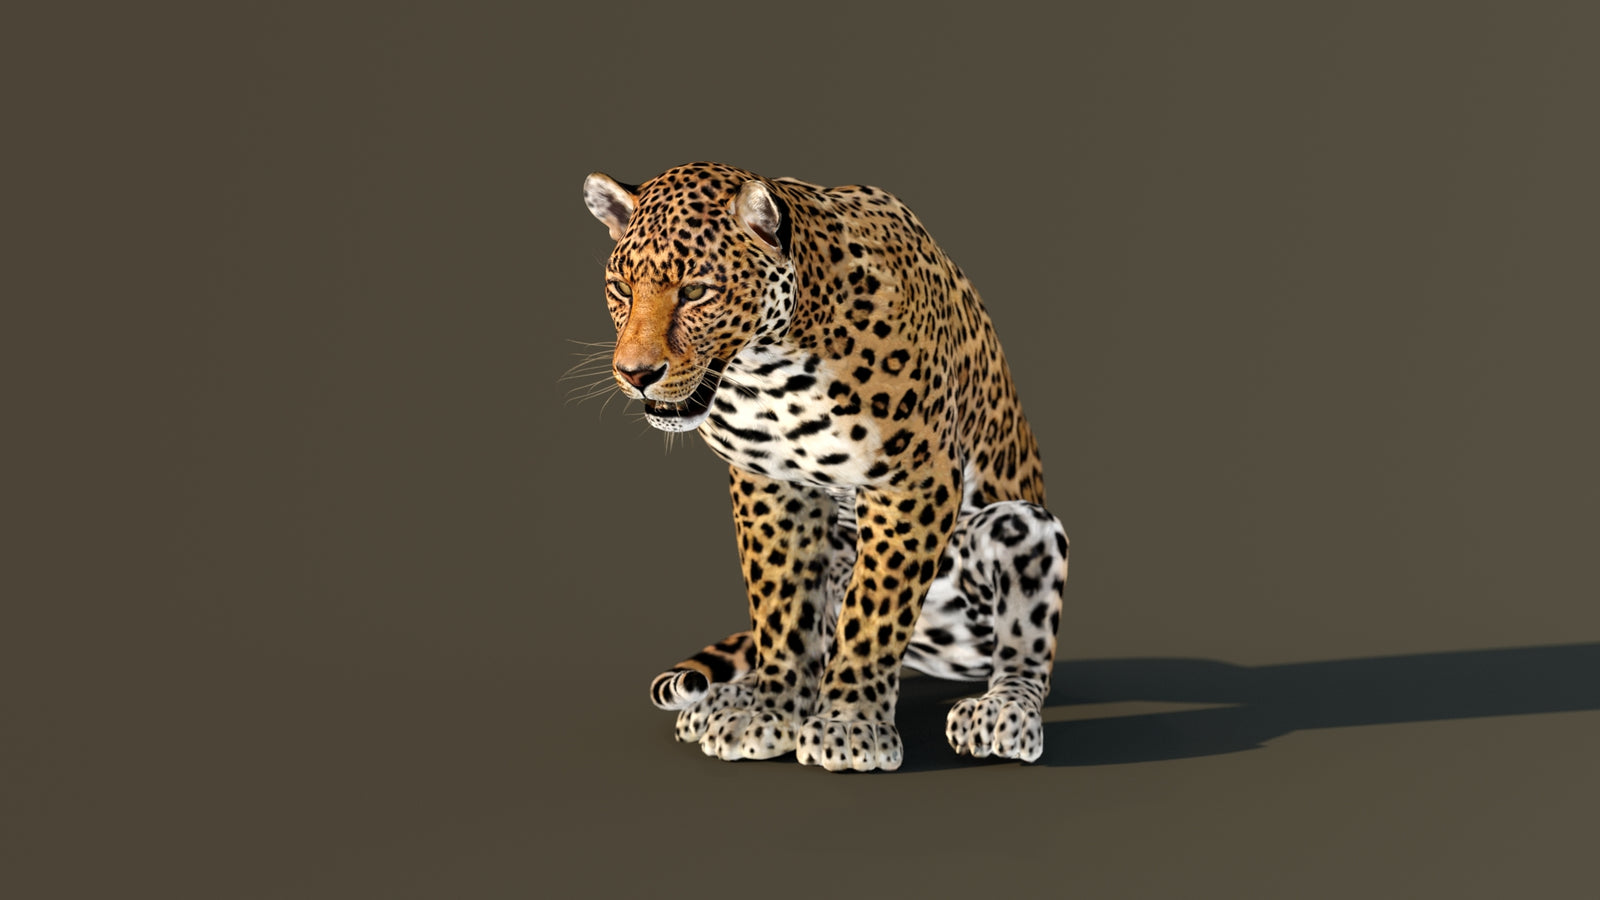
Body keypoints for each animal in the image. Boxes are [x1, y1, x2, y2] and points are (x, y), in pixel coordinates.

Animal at [580, 161, 1069, 771]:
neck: (771, 370)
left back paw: (1003, 713)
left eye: (695, 291)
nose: (635, 374)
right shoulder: (771, 485)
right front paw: (770, 711)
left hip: (1022, 526)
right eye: (622, 289)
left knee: (1024, 648)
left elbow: (874, 611)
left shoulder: (914, 480)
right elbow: (781, 607)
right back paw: (725, 701)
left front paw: (848, 724)